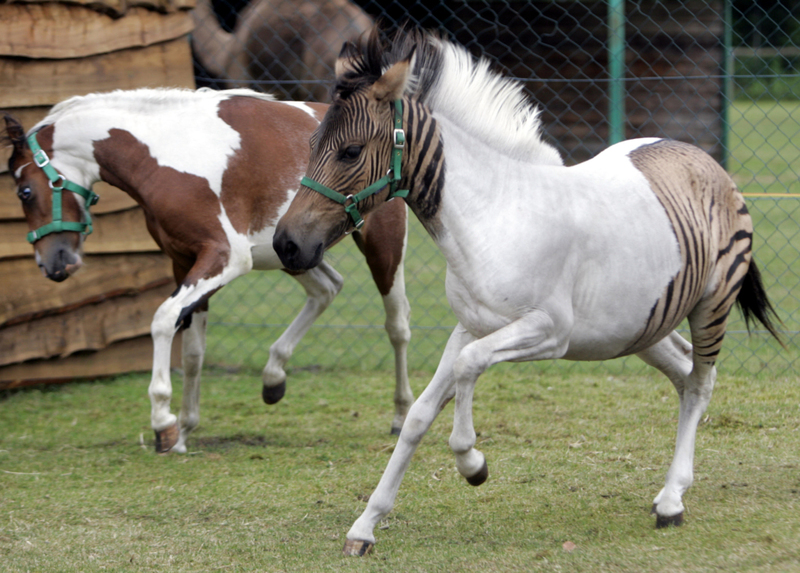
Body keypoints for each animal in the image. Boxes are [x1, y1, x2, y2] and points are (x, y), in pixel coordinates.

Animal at [1, 86, 412, 452]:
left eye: (24, 192)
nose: (52, 264)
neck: (165, 153)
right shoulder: (185, 261)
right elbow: (192, 351)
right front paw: (184, 429)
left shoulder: (225, 257)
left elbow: (163, 320)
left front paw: (162, 421)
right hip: (293, 252)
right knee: (327, 288)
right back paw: (273, 378)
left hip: (380, 247)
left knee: (397, 326)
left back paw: (400, 416)